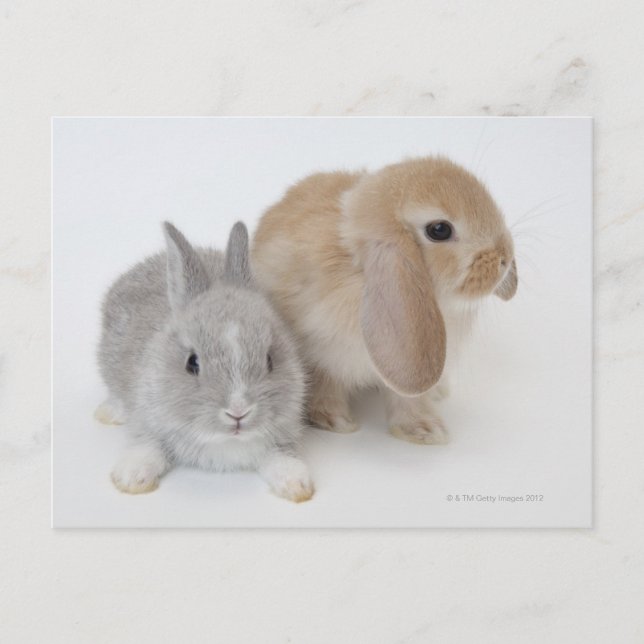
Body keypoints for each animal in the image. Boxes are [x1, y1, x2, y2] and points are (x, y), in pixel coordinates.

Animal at [95, 221, 314, 503]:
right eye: (192, 363)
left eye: (269, 360)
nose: (238, 412)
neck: (222, 440)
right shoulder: (148, 419)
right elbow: (148, 446)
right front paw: (131, 478)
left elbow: (282, 458)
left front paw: (298, 485)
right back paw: (108, 413)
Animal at [251, 156, 518, 445]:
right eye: (439, 230)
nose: (504, 258)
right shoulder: (322, 352)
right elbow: (325, 385)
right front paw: (335, 420)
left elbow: (406, 399)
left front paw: (425, 430)